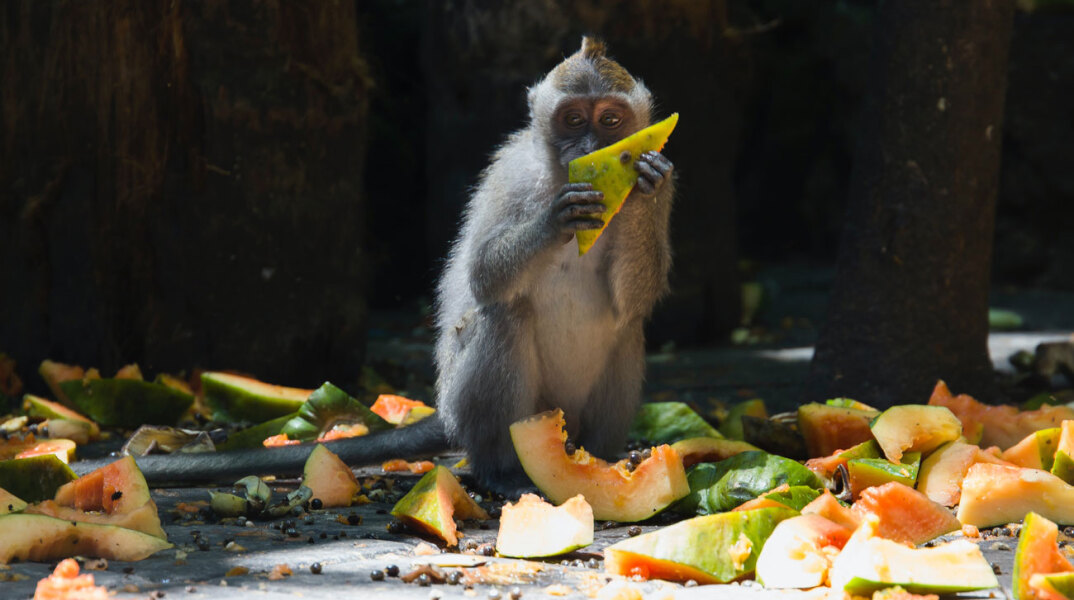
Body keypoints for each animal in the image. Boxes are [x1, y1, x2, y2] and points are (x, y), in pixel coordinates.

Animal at [73, 38, 670, 498]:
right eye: (573, 119)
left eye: (610, 120)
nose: (592, 146)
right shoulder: (513, 174)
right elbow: (483, 276)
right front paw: (555, 220)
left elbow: (632, 300)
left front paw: (643, 183)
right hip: (472, 405)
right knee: (504, 316)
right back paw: (500, 469)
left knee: (627, 331)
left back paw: (599, 461)